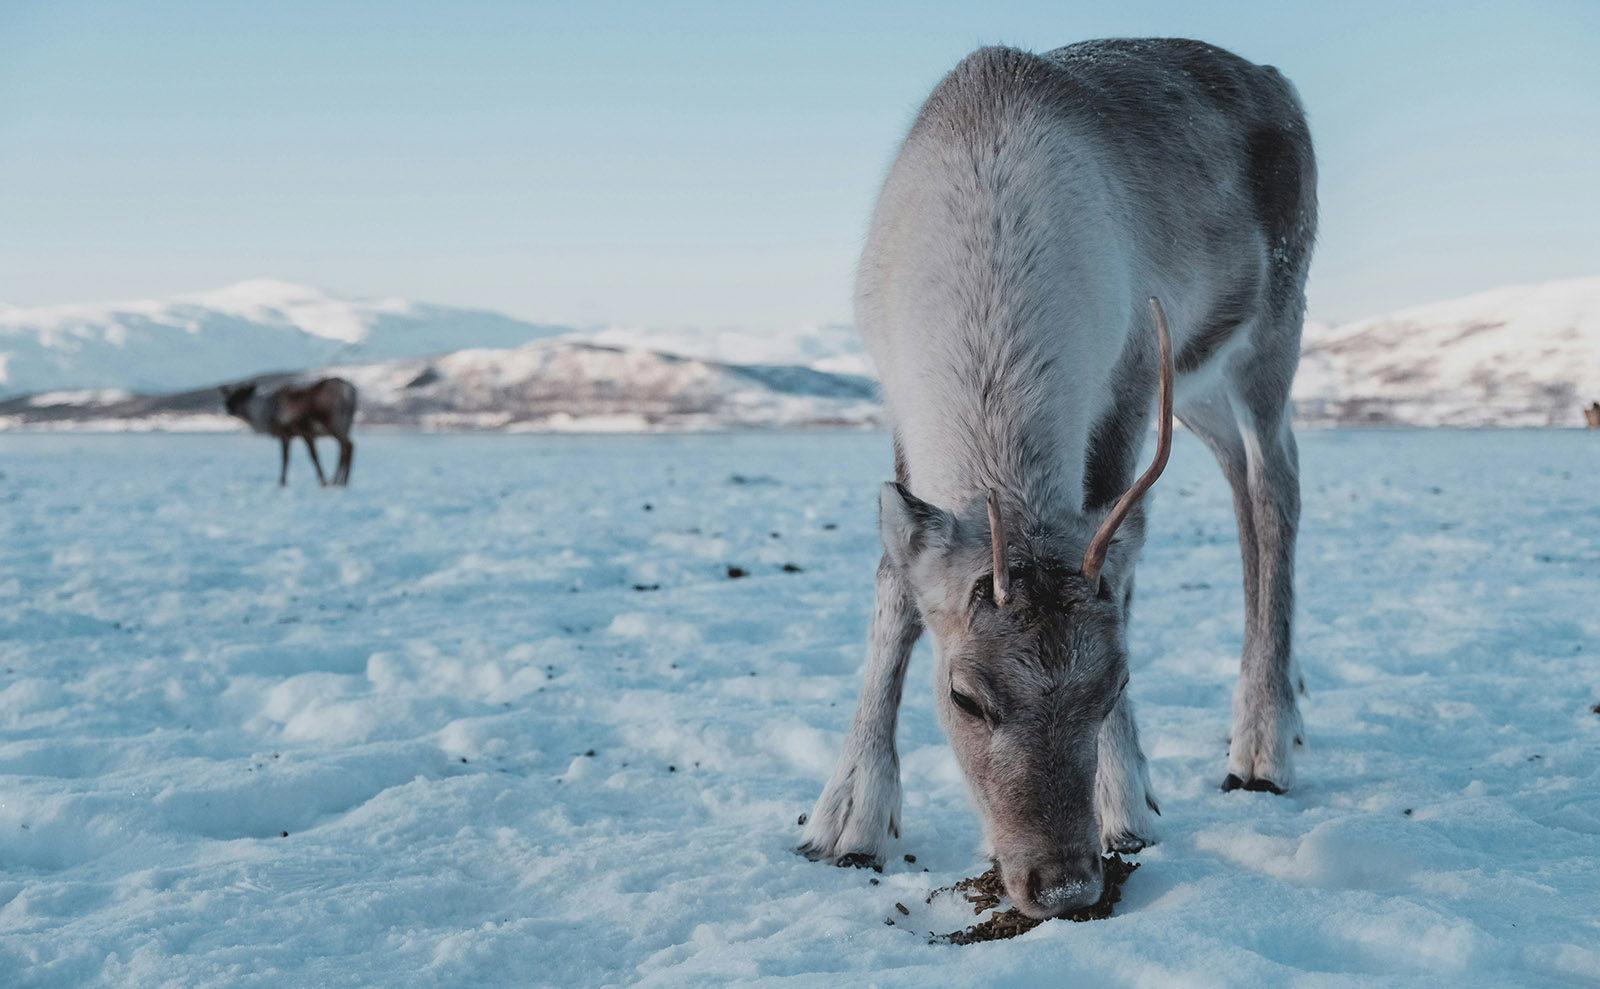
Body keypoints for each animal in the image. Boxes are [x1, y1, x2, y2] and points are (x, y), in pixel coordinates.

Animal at [220, 377, 358, 487]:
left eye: (240, 395)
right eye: (230, 396)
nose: (226, 408)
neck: (266, 412)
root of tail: (350, 391)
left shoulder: (293, 433)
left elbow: (295, 458)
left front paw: (283, 482)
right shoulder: (298, 435)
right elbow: (300, 457)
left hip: (333, 423)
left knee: (347, 446)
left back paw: (339, 481)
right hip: (345, 425)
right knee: (345, 448)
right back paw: (339, 481)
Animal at [797, 39, 1316, 920]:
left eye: (1113, 684)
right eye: (967, 696)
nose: (1065, 883)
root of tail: (1275, 76)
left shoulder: (1132, 378)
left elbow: (1123, 577)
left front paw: (1125, 800)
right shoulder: (898, 404)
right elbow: (895, 588)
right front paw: (849, 818)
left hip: (1271, 332)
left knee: (1276, 487)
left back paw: (1262, 746)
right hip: (1200, 386)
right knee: (1244, 483)